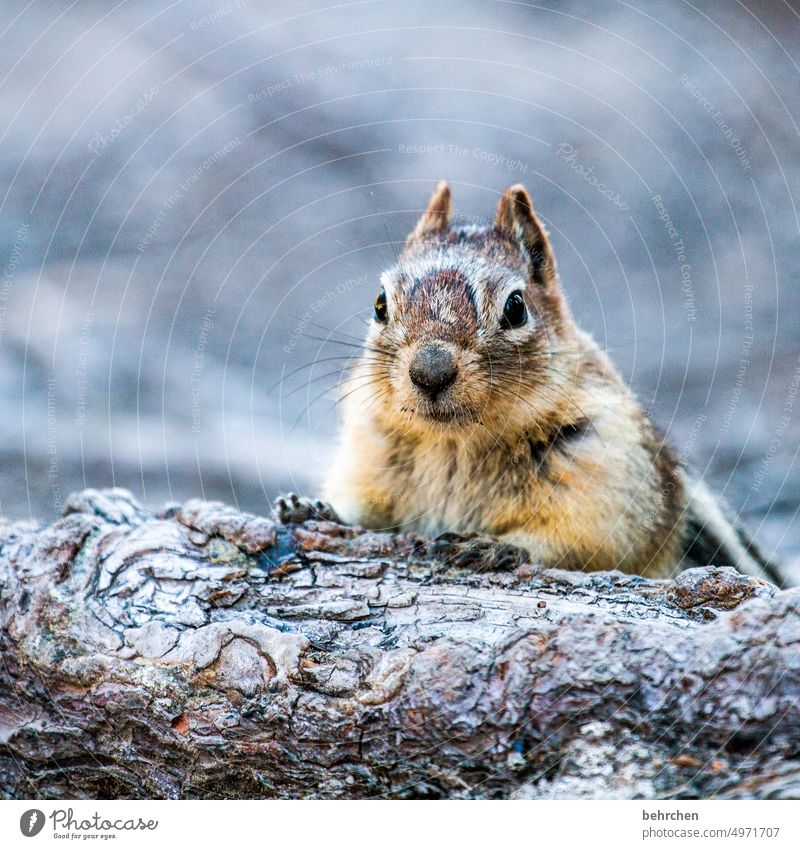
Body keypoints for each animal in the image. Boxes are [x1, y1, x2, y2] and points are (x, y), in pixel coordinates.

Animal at [320, 181, 780, 584]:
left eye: (516, 307)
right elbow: (360, 511)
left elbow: (582, 544)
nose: (430, 371)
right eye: (380, 303)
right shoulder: (367, 454)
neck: (454, 443)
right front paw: (317, 510)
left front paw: (495, 546)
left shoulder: (605, 474)